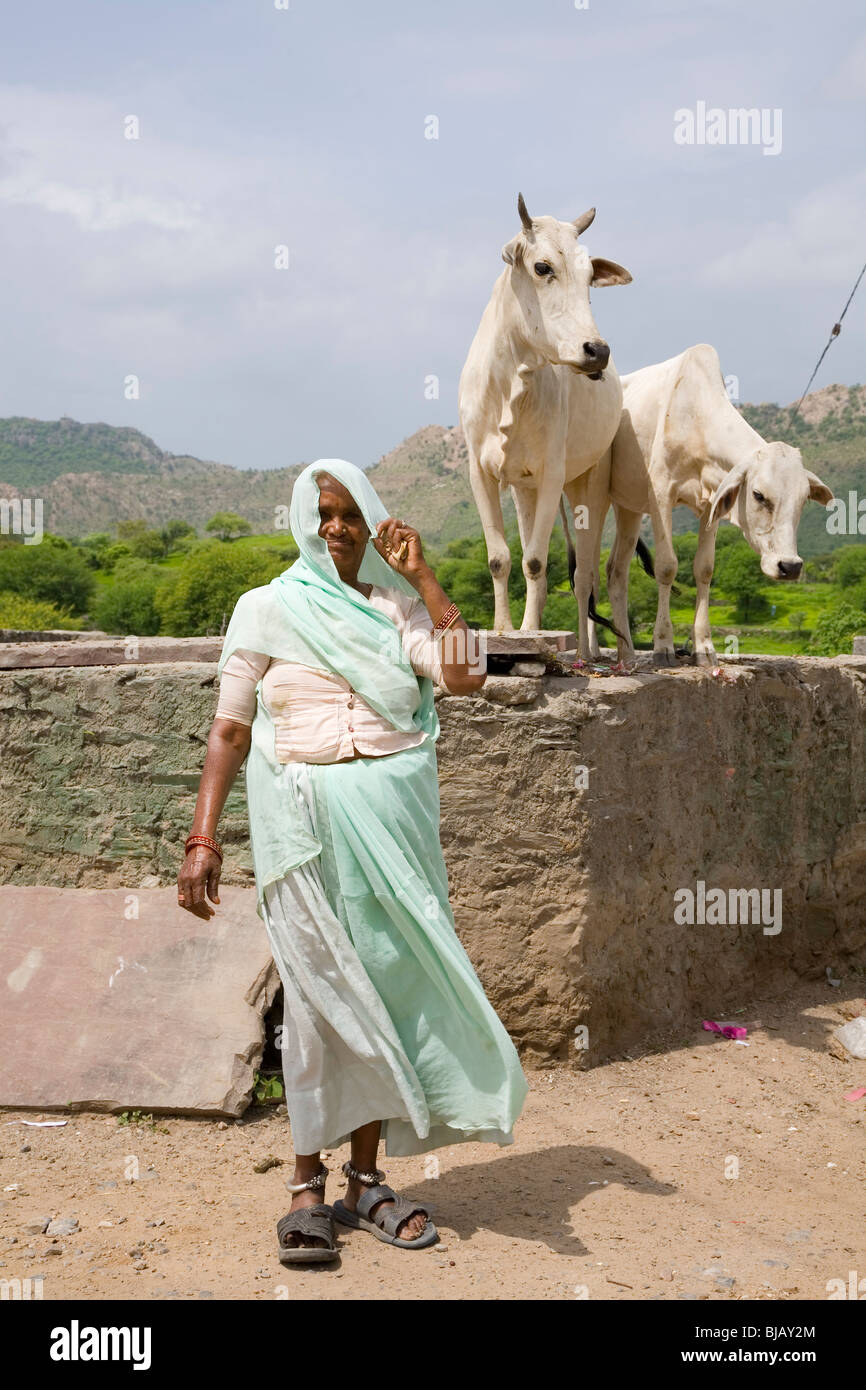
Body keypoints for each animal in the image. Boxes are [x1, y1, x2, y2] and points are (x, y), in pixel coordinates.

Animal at [458, 193, 632, 655]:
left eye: (590, 277)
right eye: (542, 267)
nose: (597, 351)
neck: (511, 381)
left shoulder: (554, 472)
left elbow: (536, 561)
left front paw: (532, 636)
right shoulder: (481, 472)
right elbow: (499, 559)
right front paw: (504, 631)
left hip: (590, 485)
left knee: (586, 575)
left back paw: (589, 652)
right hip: (526, 489)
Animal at [601, 343, 834, 665]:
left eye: (802, 502)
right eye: (759, 495)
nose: (790, 566)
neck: (695, 421)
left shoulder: (709, 506)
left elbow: (705, 569)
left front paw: (704, 647)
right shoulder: (661, 494)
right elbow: (667, 567)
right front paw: (663, 645)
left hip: (630, 507)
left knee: (616, 572)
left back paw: (627, 652)